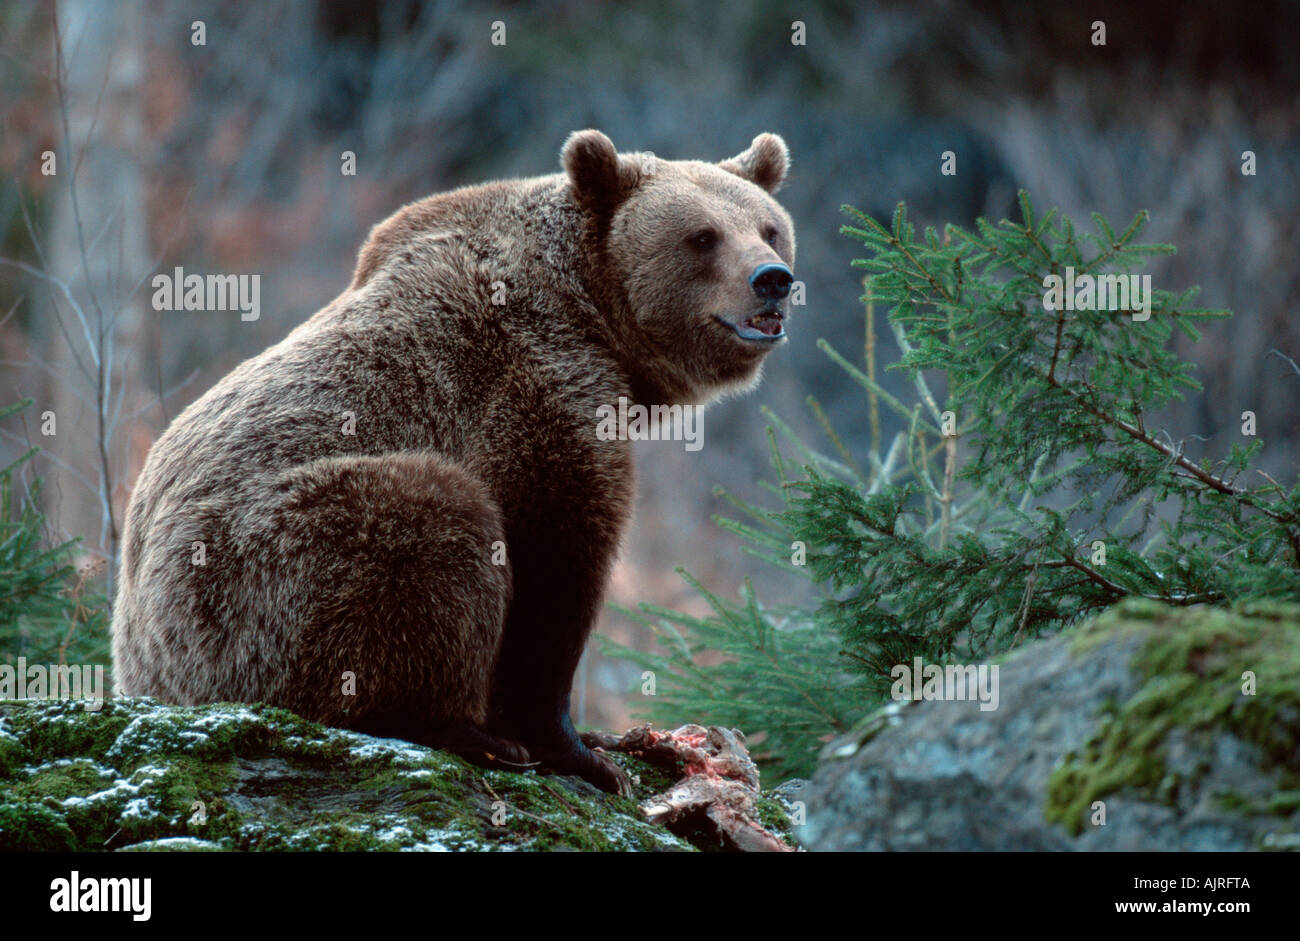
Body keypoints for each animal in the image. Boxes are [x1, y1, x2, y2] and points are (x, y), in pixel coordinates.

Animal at [111, 130, 796, 794]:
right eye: (701, 236)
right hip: (249, 579)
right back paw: (456, 728)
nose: (774, 278)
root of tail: (138, 667)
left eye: (768, 227)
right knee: (429, 520)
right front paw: (582, 753)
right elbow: (555, 564)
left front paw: (594, 741)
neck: (594, 317)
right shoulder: (536, 390)